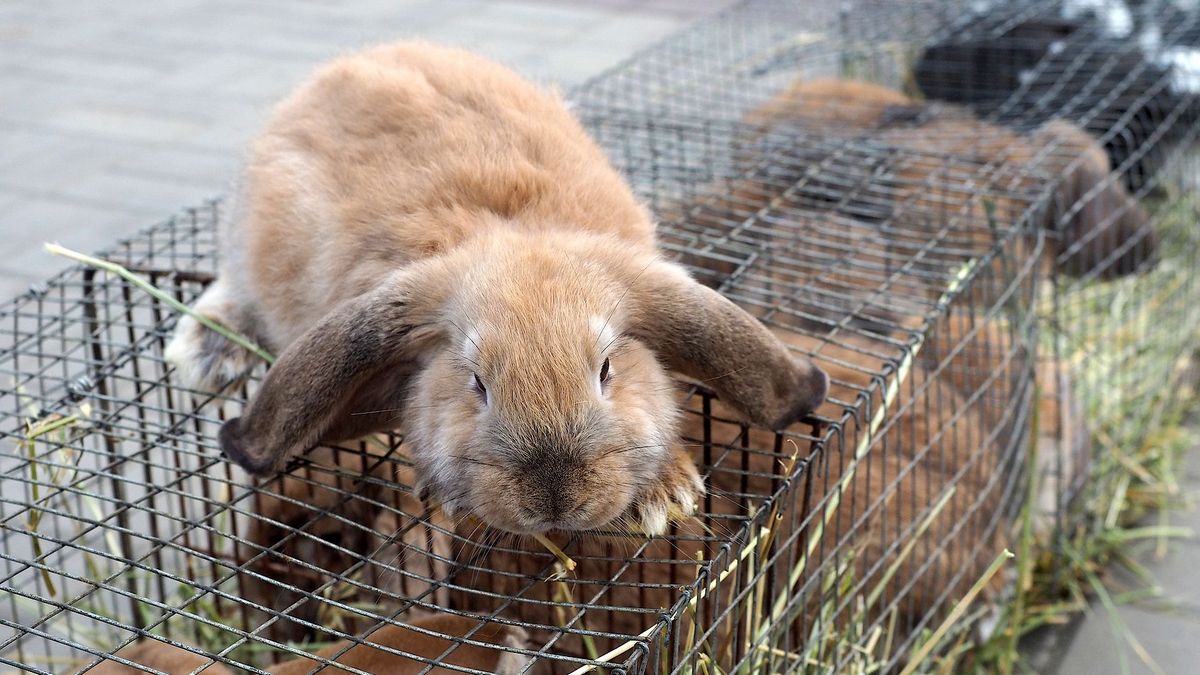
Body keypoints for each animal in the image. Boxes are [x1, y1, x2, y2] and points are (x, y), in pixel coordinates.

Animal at [162, 40, 825, 535]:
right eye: (476, 384)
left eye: (607, 369)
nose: (555, 501)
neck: (511, 235)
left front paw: (666, 495)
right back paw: (205, 353)